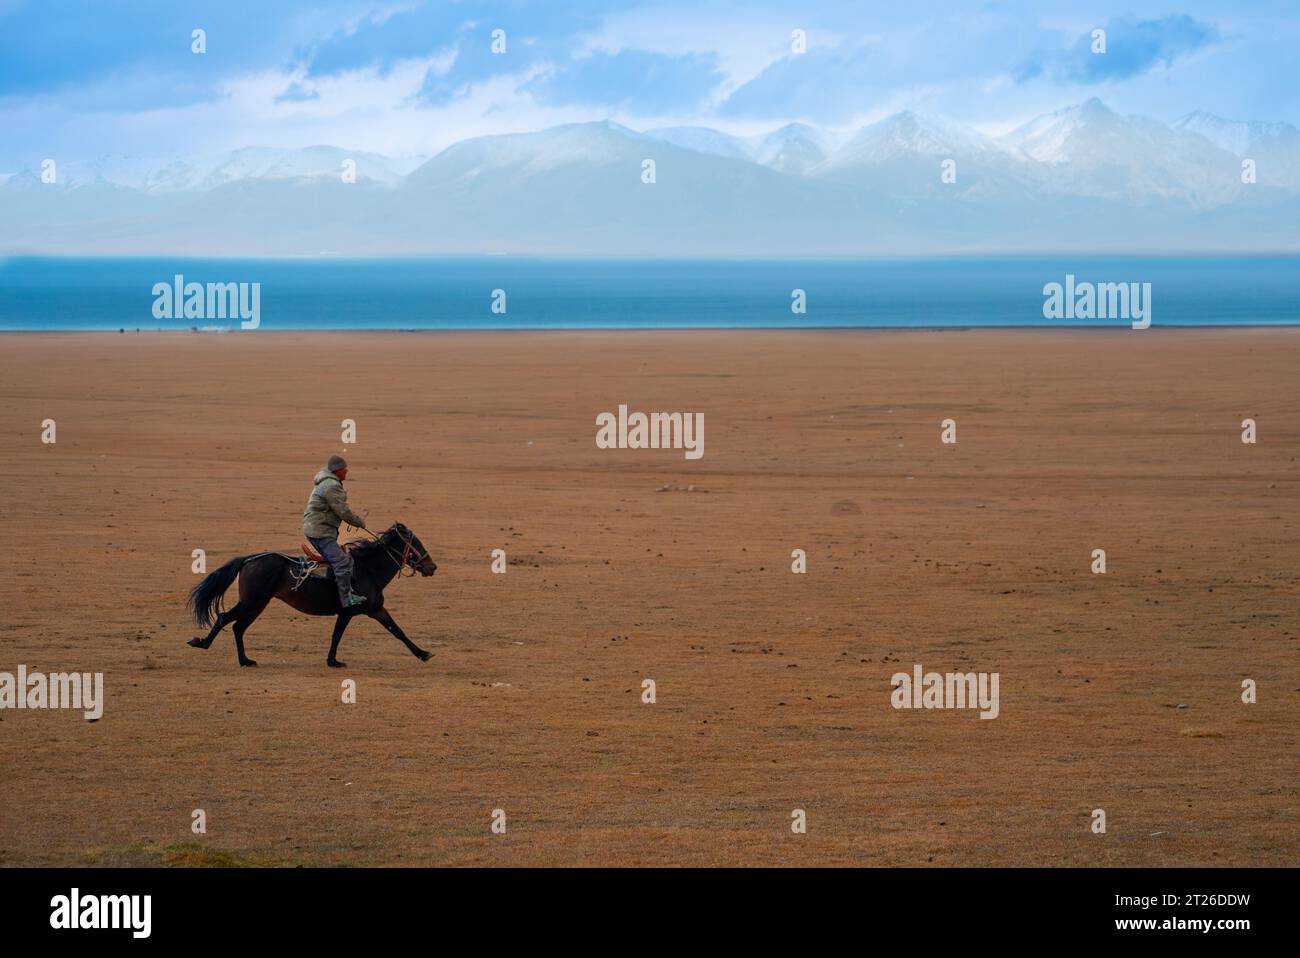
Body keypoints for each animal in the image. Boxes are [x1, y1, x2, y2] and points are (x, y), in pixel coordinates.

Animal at [185, 522, 436, 665]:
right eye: (416, 544)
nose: (432, 567)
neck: (368, 570)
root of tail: (250, 559)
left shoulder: (376, 610)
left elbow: (397, 631)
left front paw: (423, 653)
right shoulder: (348, 612)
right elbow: (337, 635)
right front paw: (333, 661)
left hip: (257, 605)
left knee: (238, 627)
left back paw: (245, 660)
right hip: (251, 602)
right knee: (224, 618)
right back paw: (203, 643)